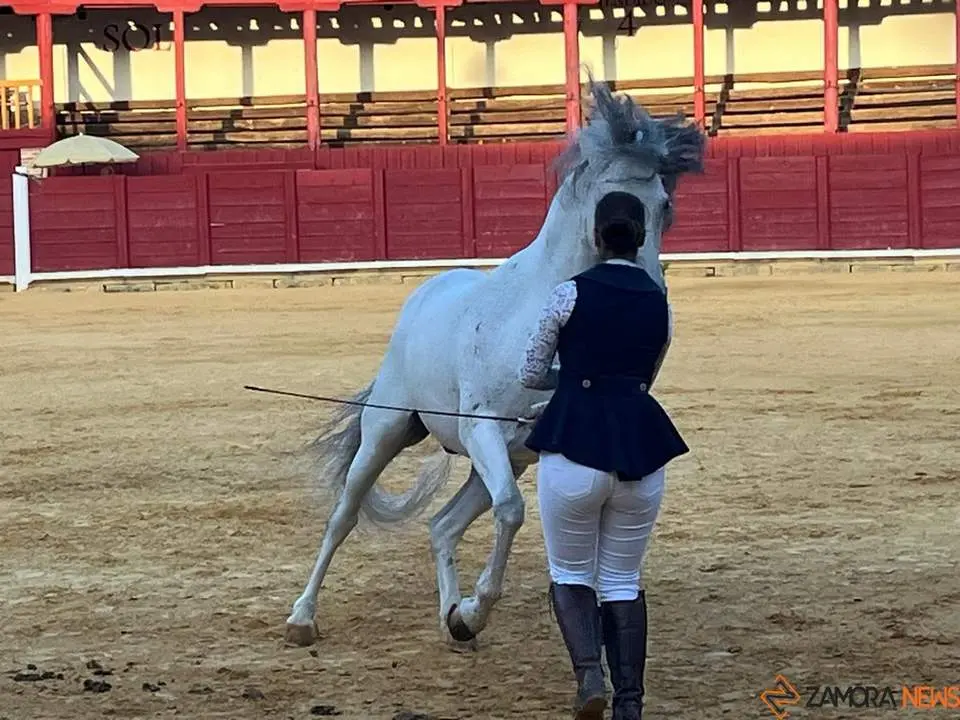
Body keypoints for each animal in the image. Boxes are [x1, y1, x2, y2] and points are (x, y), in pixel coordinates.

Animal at [284, 79, 706, 649]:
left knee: (442, 525)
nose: (652, 298)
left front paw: (470, 612)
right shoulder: (483, 426)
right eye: (613, 204)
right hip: (387, 430)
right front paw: (477, 604)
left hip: (503, 458)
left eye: (663, 205)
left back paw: (453, 618)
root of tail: (425, 294)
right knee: (344, 516)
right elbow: (512, 512)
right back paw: (302, 617)